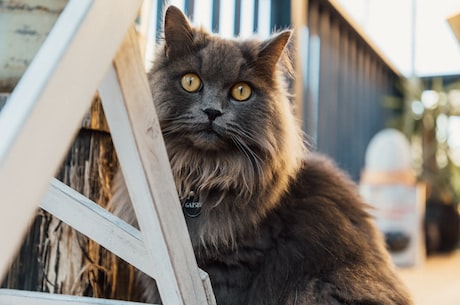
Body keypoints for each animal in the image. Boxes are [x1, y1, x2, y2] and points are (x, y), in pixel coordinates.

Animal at [108, 5, 414, 304]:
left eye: (241, 91)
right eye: (191, 82)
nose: (212, 111)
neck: (202, 174)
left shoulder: (233, 268)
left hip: (318, 288)